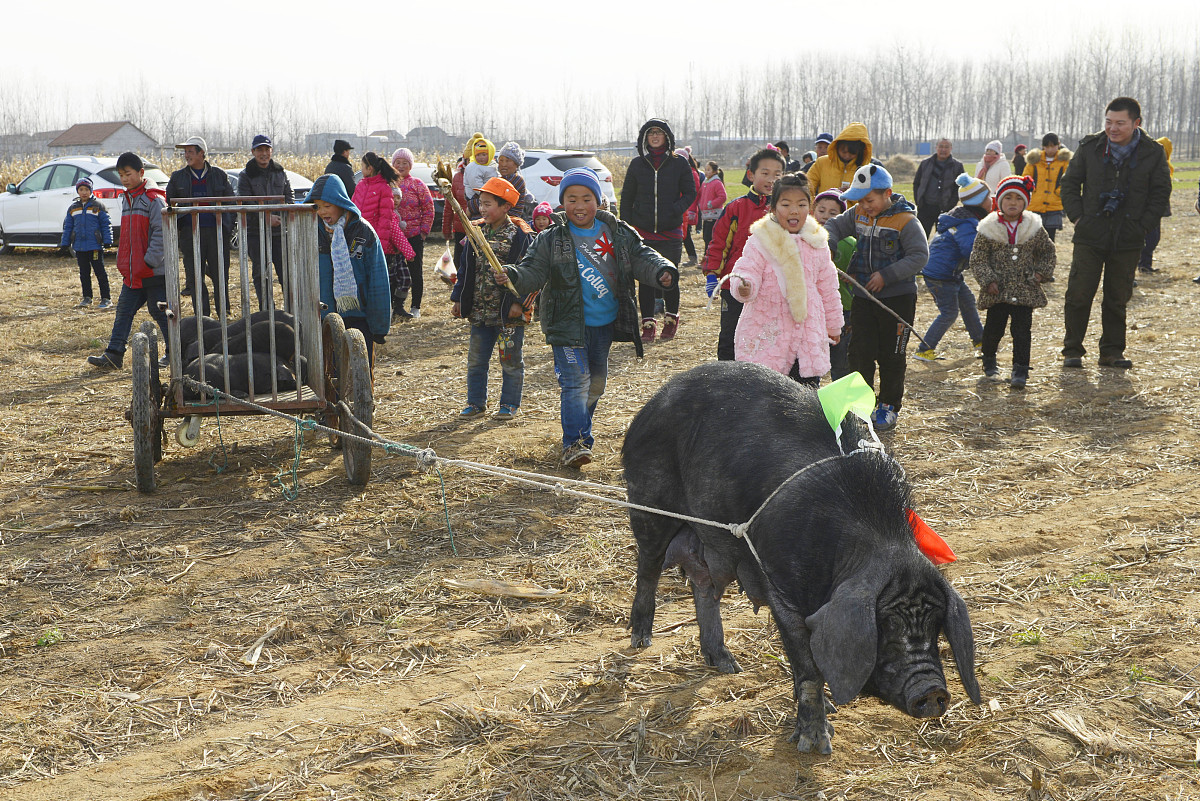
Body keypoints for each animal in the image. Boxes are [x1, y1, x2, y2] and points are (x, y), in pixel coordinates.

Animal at [624, 362, 979, 753]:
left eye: (936, 624)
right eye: (887, 624)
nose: (932, 691)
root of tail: (648, 408)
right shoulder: (781, 586)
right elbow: (807, 665)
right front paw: (815, 745)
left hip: (715, 541)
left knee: (704, 586)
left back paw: (727, 665)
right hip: (649, 502)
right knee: (648, 566)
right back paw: (641, 639)